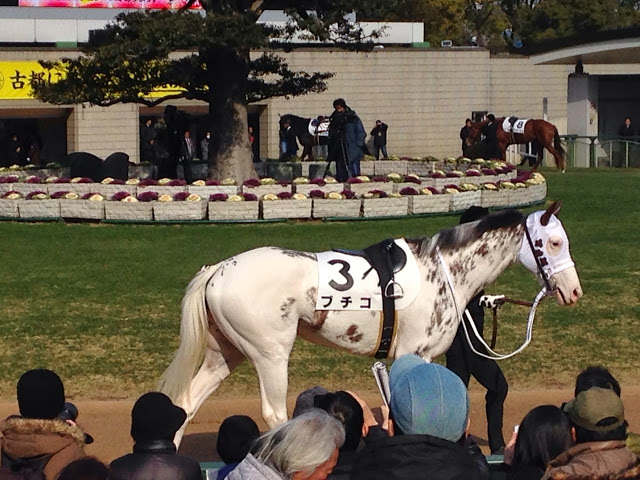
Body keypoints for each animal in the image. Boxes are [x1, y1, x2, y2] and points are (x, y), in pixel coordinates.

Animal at [159, 201, 580, 444]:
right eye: (555, 242)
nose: (574, 291)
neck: (442, 271)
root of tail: (218, 269)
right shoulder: (414, 354)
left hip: (225, 353)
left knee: (185, 405)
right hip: (270, 355)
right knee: (274, 414)